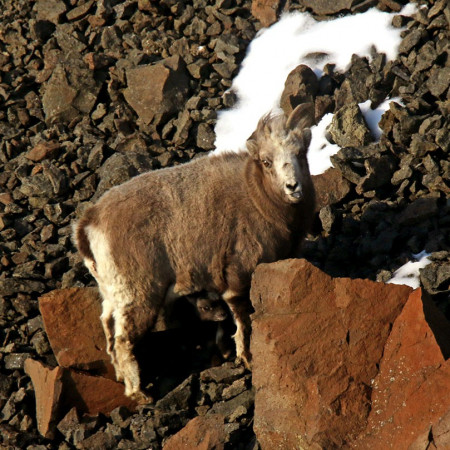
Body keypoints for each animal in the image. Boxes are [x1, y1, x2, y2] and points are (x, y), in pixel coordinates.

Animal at [74, 103, 316, 400]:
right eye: (266, 161)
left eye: (300, 153)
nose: (293, 187)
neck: (259, 201)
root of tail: (89, 224)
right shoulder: (238, 277)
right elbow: (242, 318)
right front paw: (246, 357)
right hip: (138, 297)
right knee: (123, 341)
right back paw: (139, 394)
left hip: (112, 295)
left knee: (108, 328)